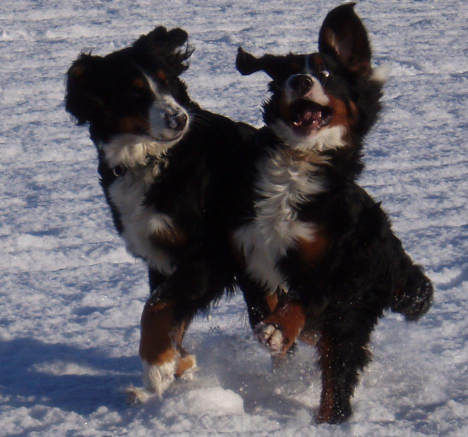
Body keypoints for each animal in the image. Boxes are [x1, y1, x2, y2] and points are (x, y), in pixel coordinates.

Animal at [232, 1, 434, 420]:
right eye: (288, 72)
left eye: (325, 73)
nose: (301, 82)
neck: (297, 167)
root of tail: (394, 252)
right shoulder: (251, 257)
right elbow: (266, 304)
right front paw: (276, 334)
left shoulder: (336, 266)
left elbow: (302, 300)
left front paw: (278, 329)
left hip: (353, 311)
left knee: (336, 380)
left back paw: (328, 421)